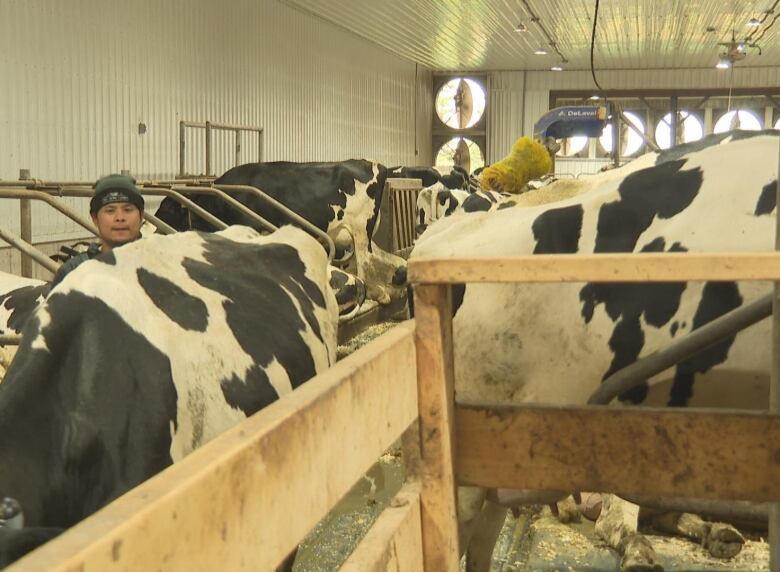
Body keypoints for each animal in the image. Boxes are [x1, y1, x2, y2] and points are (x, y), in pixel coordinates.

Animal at [153, 161, 408, 312]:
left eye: (167, 209)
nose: (153, 229)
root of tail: (374, 164)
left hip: (360, 230)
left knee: (365, 263)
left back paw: (377, 295)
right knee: (387, 259)